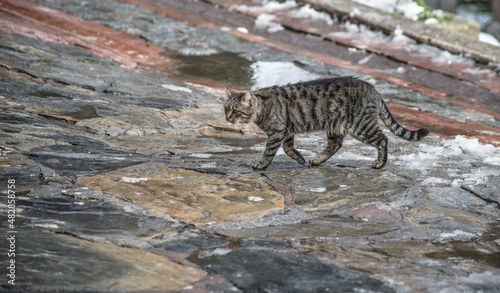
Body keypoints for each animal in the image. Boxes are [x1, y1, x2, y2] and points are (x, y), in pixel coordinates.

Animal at [225, 76, 428, 170]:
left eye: (235, 111)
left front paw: (261, 165)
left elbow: (268, 152)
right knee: (335, 144)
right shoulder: (287, 132)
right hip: (335, 126)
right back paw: (316, 160)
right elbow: (289, 148)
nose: (227, 118)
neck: (262, 107)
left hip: (360, 126)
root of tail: (374, 90)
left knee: (383, 139)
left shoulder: (278, 132)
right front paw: (300, 158)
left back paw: (380, 163)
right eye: (225, 108)